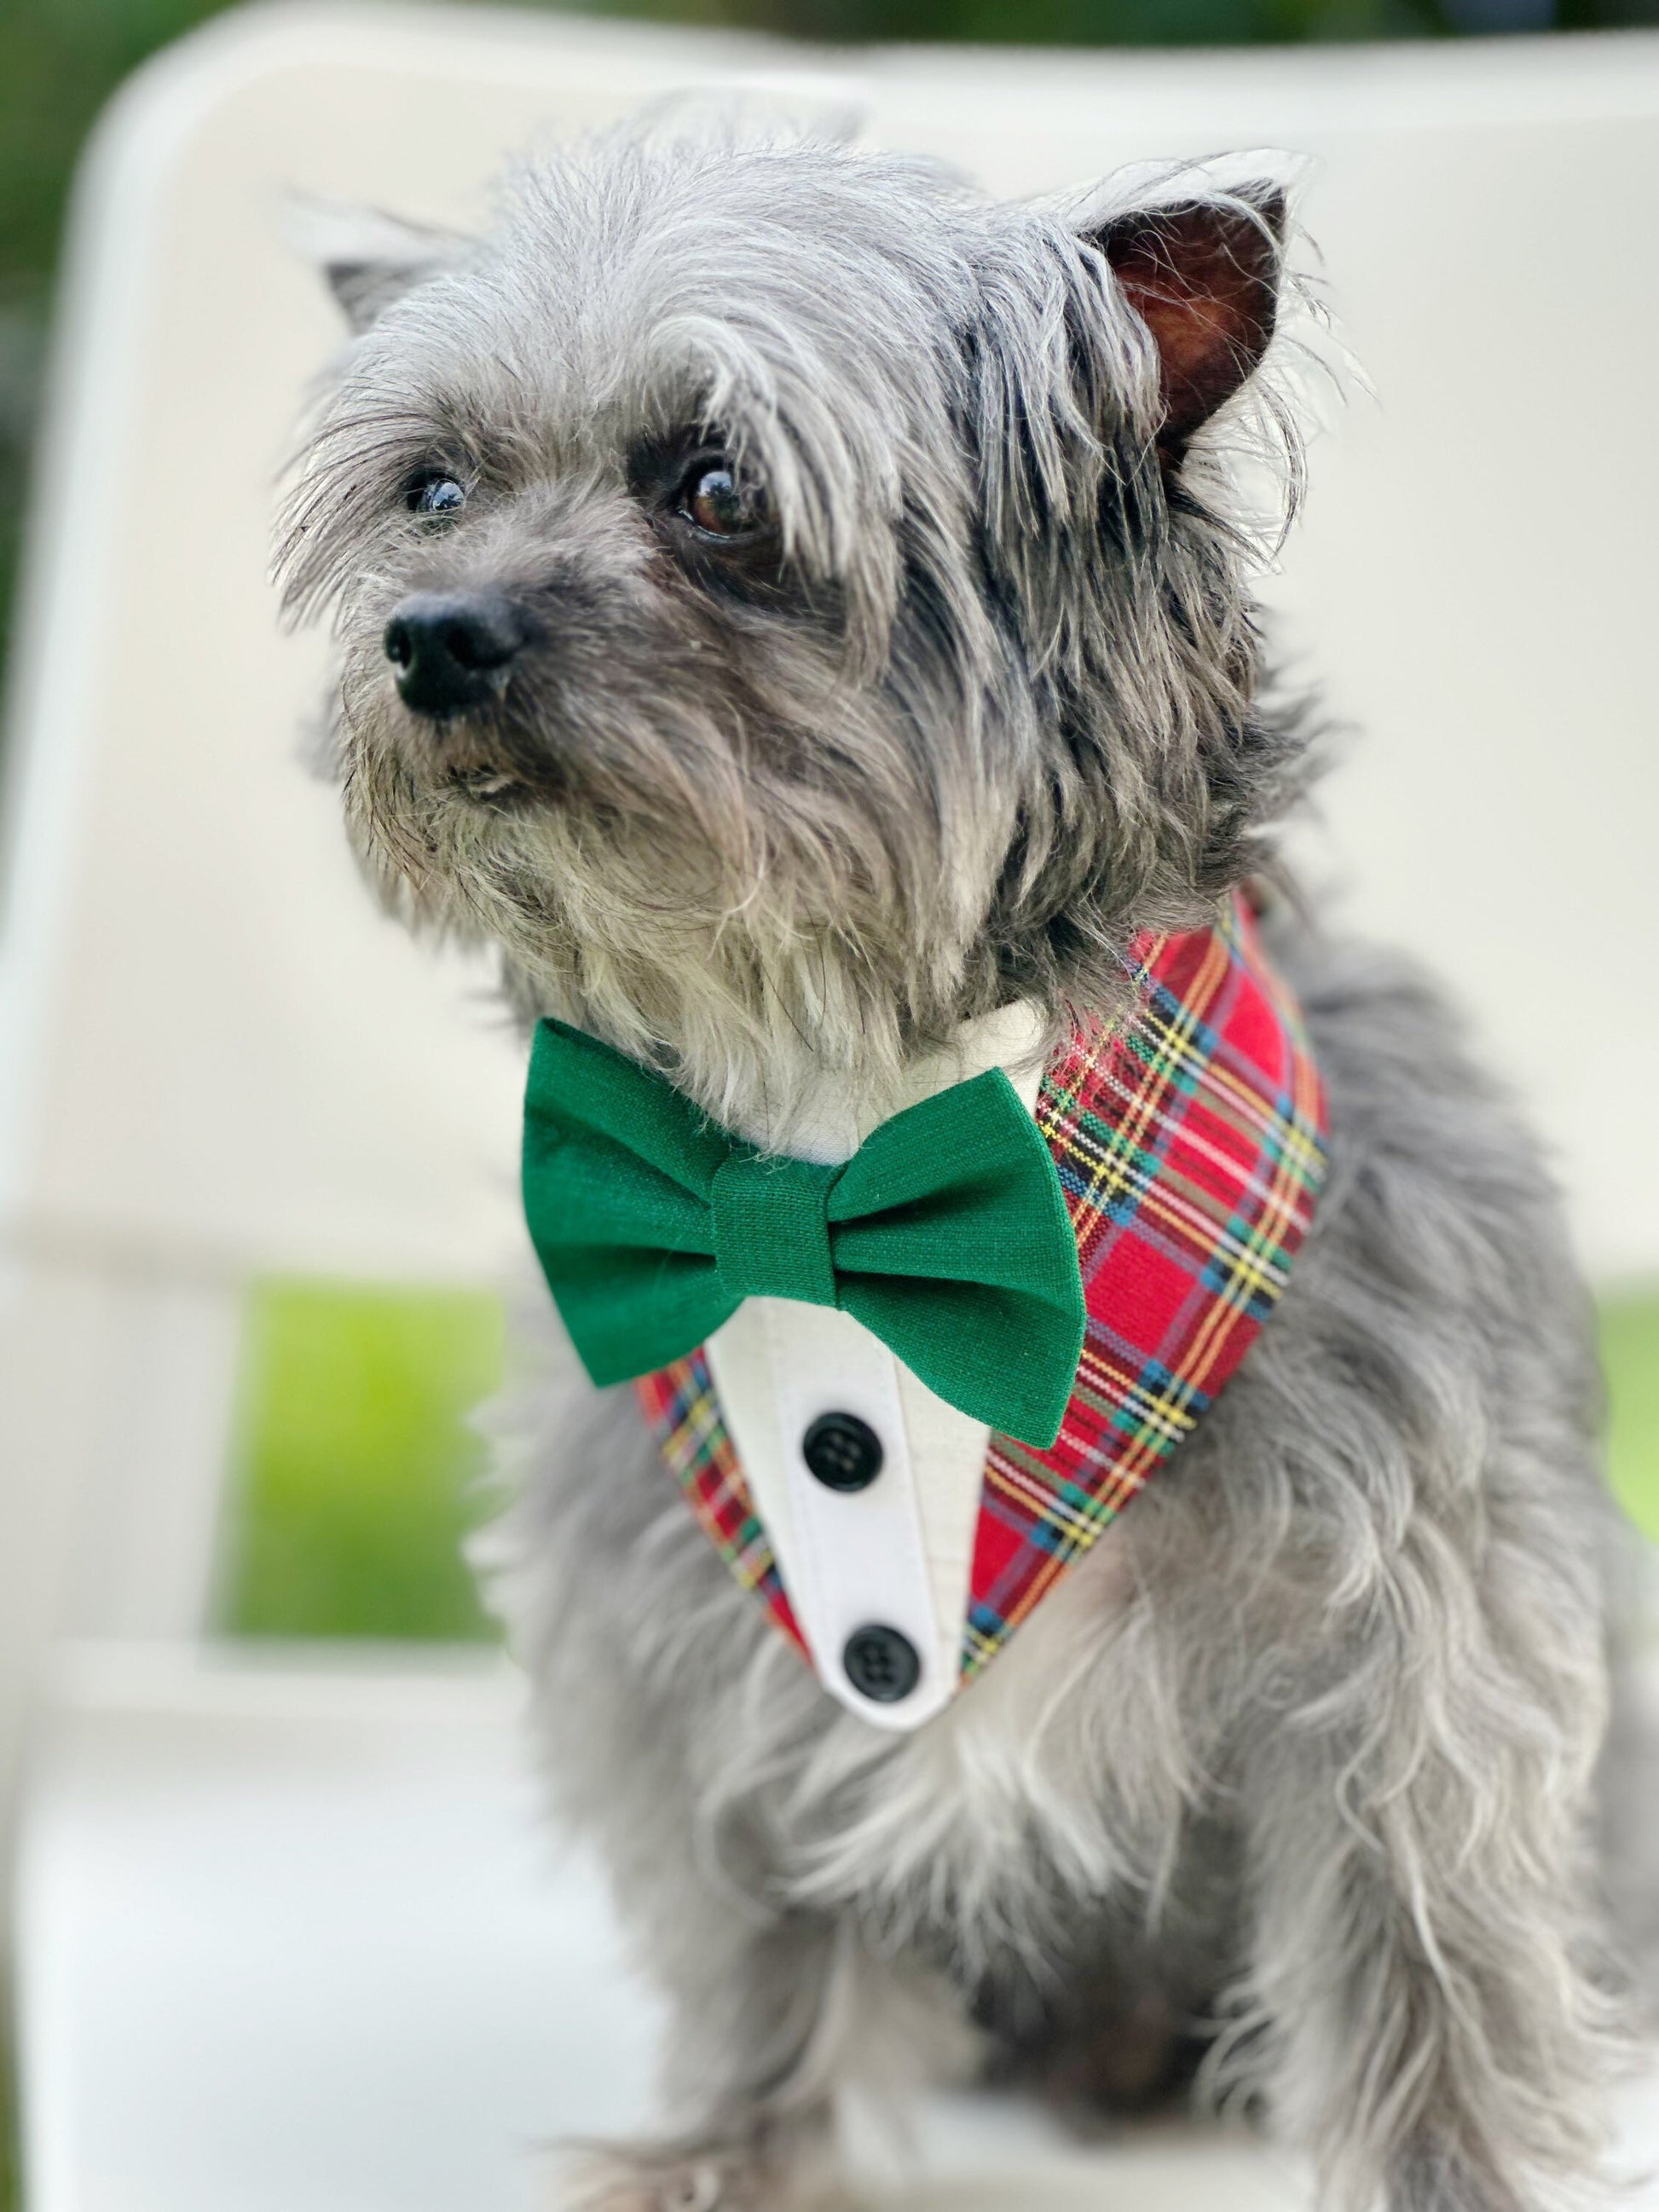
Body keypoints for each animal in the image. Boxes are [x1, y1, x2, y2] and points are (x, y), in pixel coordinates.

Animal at [283, 107, 1654, 2212]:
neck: (847, 1134)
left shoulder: (1415, 1643)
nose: (428, 638)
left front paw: (1450, 2181)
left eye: (714, 486)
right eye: (433, 487)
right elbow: (765, 1924)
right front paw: (737, 2147)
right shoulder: (696, 1653)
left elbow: (1427, 1956)